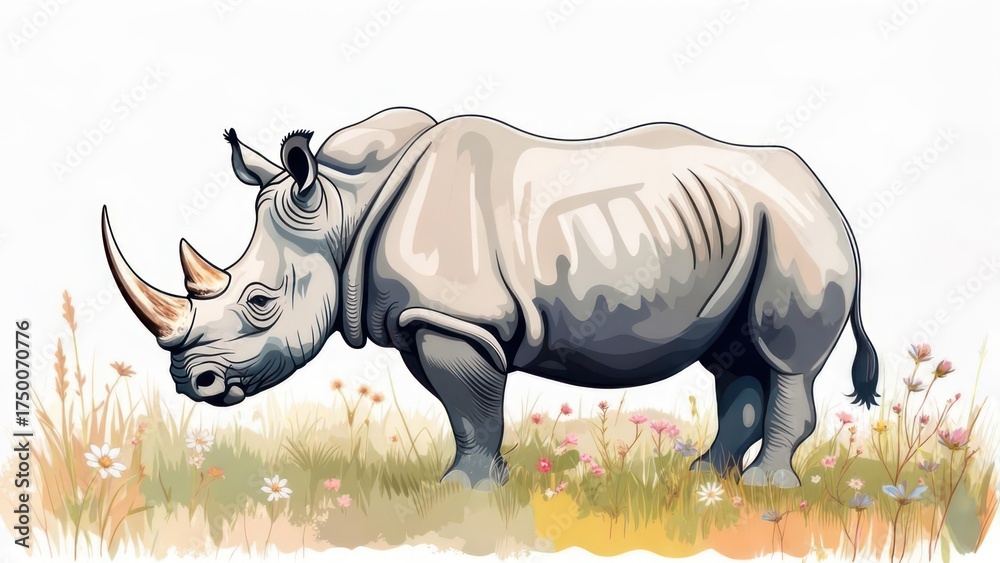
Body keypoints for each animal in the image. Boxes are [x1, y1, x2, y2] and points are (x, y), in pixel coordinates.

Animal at [102, 107, 878, 489]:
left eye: (260, 302)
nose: (193, 383)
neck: (343, 212)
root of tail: (829, 195)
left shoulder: (456, 318)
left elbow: (472, 405)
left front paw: (462, 490)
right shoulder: (424, 318)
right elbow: (466, 409)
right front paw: (485, 482)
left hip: (797, 230)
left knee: (784, 359)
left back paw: (768, 489)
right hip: (747, 225)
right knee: (734, 356)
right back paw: (705, 481)